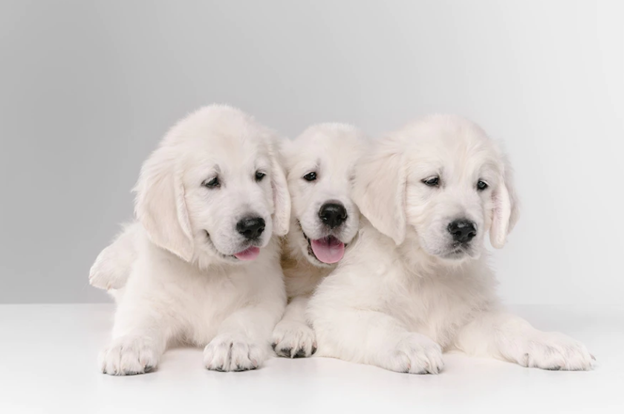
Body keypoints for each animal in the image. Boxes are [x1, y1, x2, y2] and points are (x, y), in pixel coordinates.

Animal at [92, 106, 290, 376]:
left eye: (260, 175)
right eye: (212, 182)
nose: (254, 225)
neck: (210, 270)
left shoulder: (266, 298)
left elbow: (243, 319)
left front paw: (232, 343)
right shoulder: (149, 295)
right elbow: (139, 317)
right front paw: (128, 346)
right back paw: (105, 267)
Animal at [308, 115, 596, 374]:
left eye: (481, 185)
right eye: (432, 181)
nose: (465, 229)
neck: (426, 270)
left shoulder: (469, 316)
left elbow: (510, 324)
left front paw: (550, 342)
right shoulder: (332, 310)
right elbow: (379, 323)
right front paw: (411, 344)